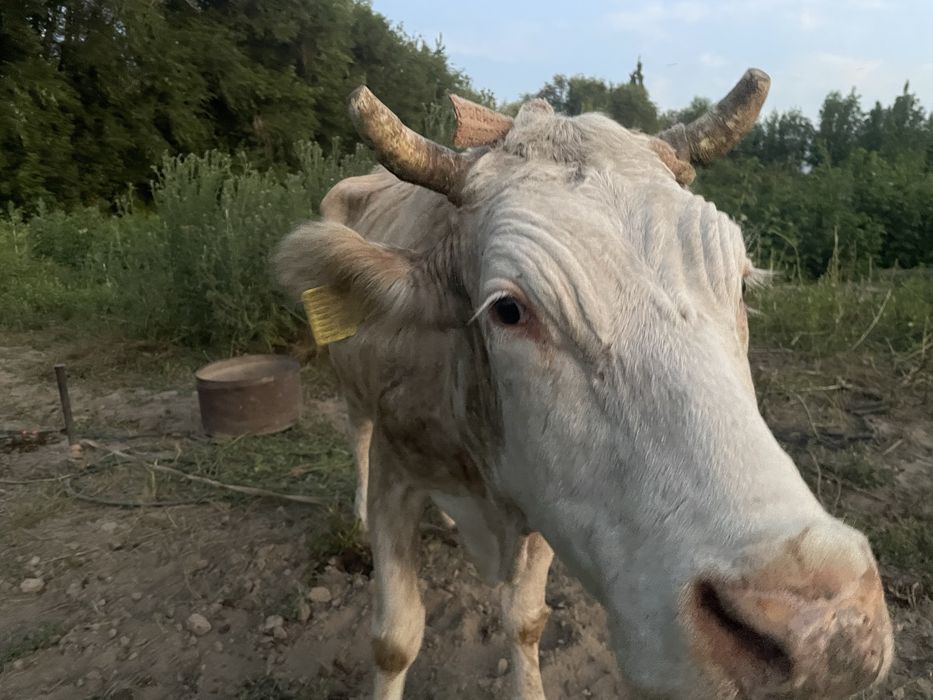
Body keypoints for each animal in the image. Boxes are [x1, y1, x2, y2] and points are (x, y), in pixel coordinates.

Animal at [274, 69, 893, 699]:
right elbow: (395, 638)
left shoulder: (552, 498)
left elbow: (525, 621)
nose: (821, 627)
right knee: (356, 430)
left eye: (740, 283)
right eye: (508, 310)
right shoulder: (399, 471)